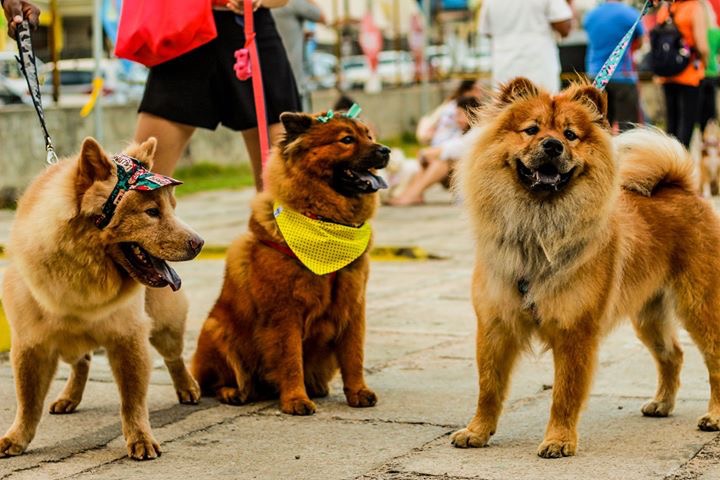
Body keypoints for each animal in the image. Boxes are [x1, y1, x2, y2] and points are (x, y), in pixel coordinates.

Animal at [0, 137, 202, 460]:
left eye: (172, 208)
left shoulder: (128, 336)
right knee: (81, 363)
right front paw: (17, 438)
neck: (84, 280)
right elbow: (28, 401)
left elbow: (132, 401)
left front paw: (140, 439)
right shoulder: (31, 342)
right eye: (151, 212)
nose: (200, 243)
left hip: (164, 327)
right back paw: (69, 397)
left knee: (174, 357)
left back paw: (187, 388)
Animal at [188, 108, 386, 412]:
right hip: (217, 331)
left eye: (369, 136)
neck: (325, 221)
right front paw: (295, 400)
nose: (386, 151)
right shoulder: (285, 312)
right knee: (218, 382)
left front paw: (357, 392)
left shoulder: (353, 307)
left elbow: (354, 356)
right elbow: (291, 359)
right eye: (347, 139)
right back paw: (233, 392)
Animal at [452, 78, 720, 458]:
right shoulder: (495, 325)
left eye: (570, 134)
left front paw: (558, 440)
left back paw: (714, 416)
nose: (552, 144)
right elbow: (488, 388)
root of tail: (680, 187)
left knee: (714, 360)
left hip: (699, 305)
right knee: (673, 355)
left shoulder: (575, 329)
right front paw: (477, 432)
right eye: (531, 130)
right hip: (648, 315)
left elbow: (565, 393)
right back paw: (661, 404)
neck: (537, 229)